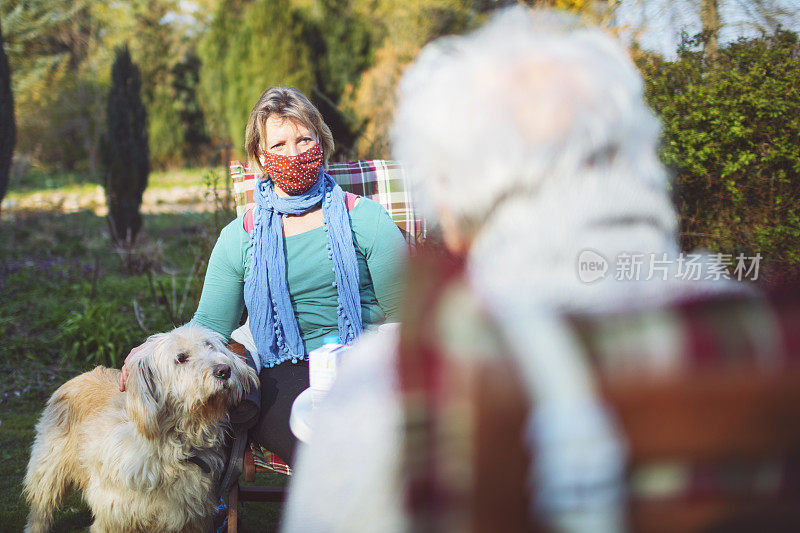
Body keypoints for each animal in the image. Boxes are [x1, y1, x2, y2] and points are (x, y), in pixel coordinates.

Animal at [22, 322, 260, 532]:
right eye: (181, 358)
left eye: (210, 346)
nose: (224, 370)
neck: (173, 443)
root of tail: (81, 375)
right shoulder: (115, 515)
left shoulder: (191, 517)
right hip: (49, 469)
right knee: (41, 509)